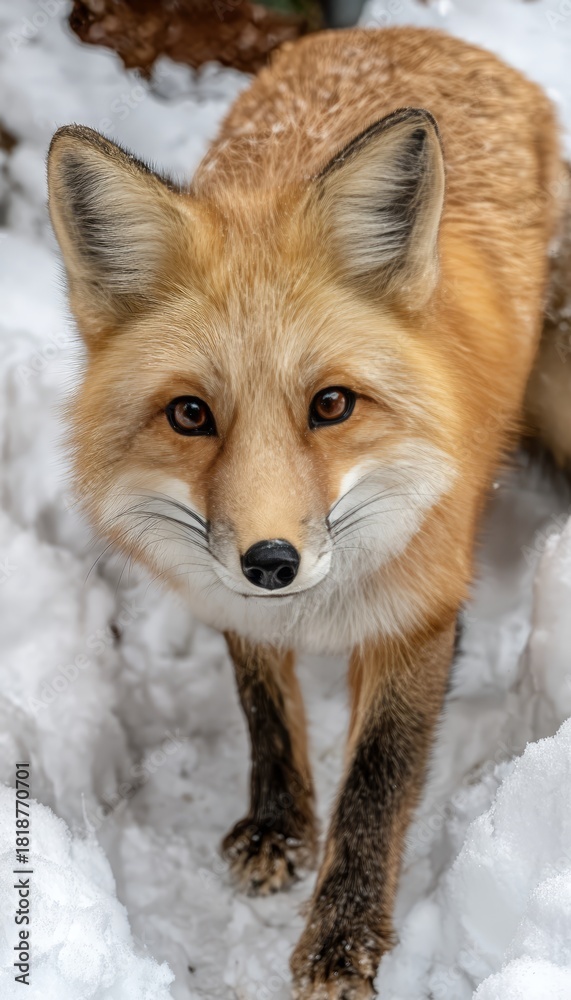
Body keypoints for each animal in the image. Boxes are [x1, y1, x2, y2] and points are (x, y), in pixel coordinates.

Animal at [47, 25, 570, 1000]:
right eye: (189, 415)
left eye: (331, 405)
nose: (271, 563)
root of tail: (421, 34)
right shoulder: (224, 593)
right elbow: (264, 703)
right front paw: (279, 824)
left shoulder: (418, 609)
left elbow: (376, 781)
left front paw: (342, 940)